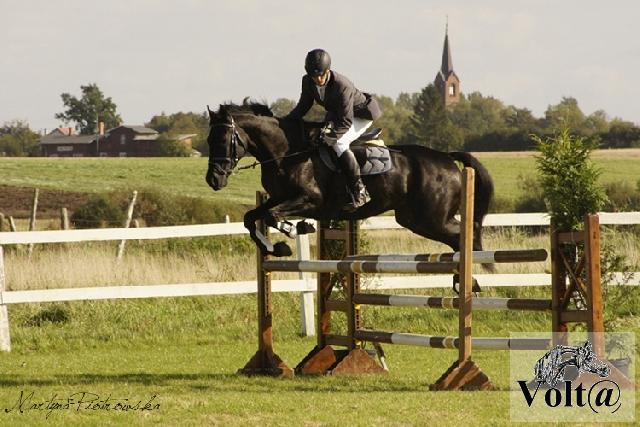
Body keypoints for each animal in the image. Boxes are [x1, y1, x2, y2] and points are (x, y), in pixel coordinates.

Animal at [205, 101, 495, 272]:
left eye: (224, 139)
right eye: (209, 139)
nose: (213, 180)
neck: (286, 151)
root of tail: (446, 158)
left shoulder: (309, 199)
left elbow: (270, 216)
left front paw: (293, 232)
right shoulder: (278, 197)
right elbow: (251, 217)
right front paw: (275, 247)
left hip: (432, 217)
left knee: (465, 236)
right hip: (414, 219)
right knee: (458, 238)